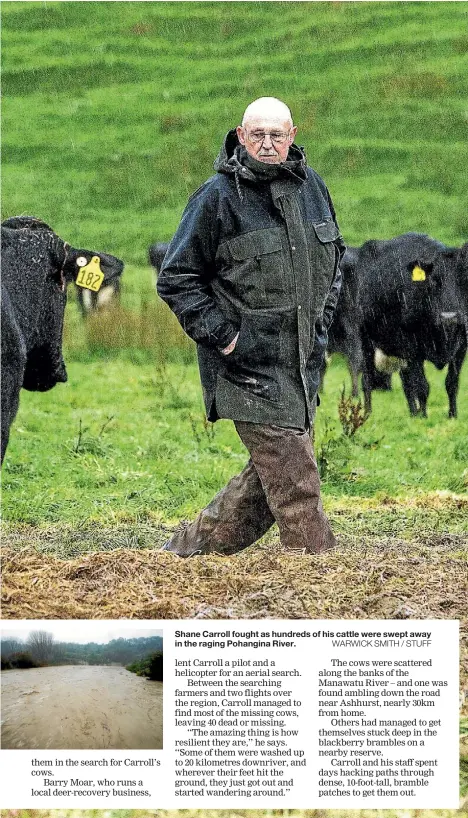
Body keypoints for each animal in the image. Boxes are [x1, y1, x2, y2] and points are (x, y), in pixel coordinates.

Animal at [356, 233, 466, 418]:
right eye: (434, 281)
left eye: (463, 280)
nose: (449, 318)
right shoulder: (412, 344)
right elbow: (422, 386)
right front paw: (424, 417)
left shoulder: (462, 344)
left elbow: (452, 383)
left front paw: (452, 416)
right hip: (366, 339)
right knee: (367, 379)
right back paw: (366, 414)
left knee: (406, 382)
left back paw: (413, 413)